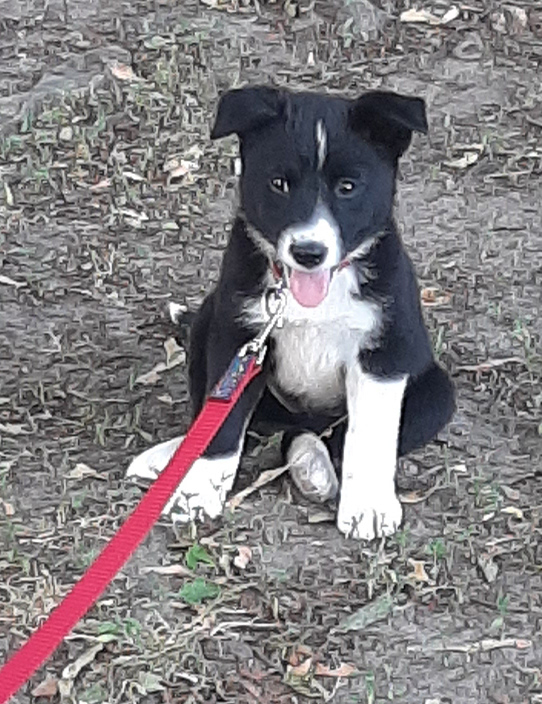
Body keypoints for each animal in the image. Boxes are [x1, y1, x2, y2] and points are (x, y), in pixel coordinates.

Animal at [130, 85, 456, 540]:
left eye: (348, 187)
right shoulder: (237, 337)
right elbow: (223, 428)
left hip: (435, 394)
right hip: (208, 322)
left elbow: (368, 437)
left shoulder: (383, 355)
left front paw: (368, 508)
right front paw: (197, 494)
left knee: (320, 437)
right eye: (278, 184)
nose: (308, 251)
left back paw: (311, 466)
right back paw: (174, 457)